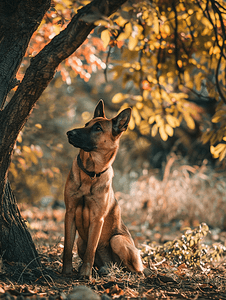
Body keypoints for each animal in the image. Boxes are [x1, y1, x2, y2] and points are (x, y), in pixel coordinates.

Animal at [62, 99, 143, 278]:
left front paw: (85, 274)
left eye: (97, 128)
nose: (69, 133)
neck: (91, 173)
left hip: (117, 240)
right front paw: (66, 271)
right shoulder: (70, 213)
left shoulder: (97, 219)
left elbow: (91, 250)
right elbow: (67, 247)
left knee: (136, 270)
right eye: (86, 124)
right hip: (81, 241)